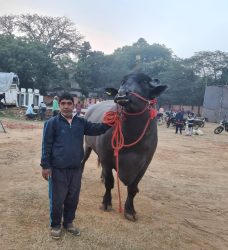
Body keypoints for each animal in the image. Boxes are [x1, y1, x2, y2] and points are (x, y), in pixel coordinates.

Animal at [81, 72, 166, 221]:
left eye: (144, 82)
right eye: (123, 82)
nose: (121, 94)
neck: (131, 135)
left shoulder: (145, 164)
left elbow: (133, 188)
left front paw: (130, 210)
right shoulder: (106, 158)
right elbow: (110, 182)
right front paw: (106, 203)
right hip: (88, 145)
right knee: (85, 159)